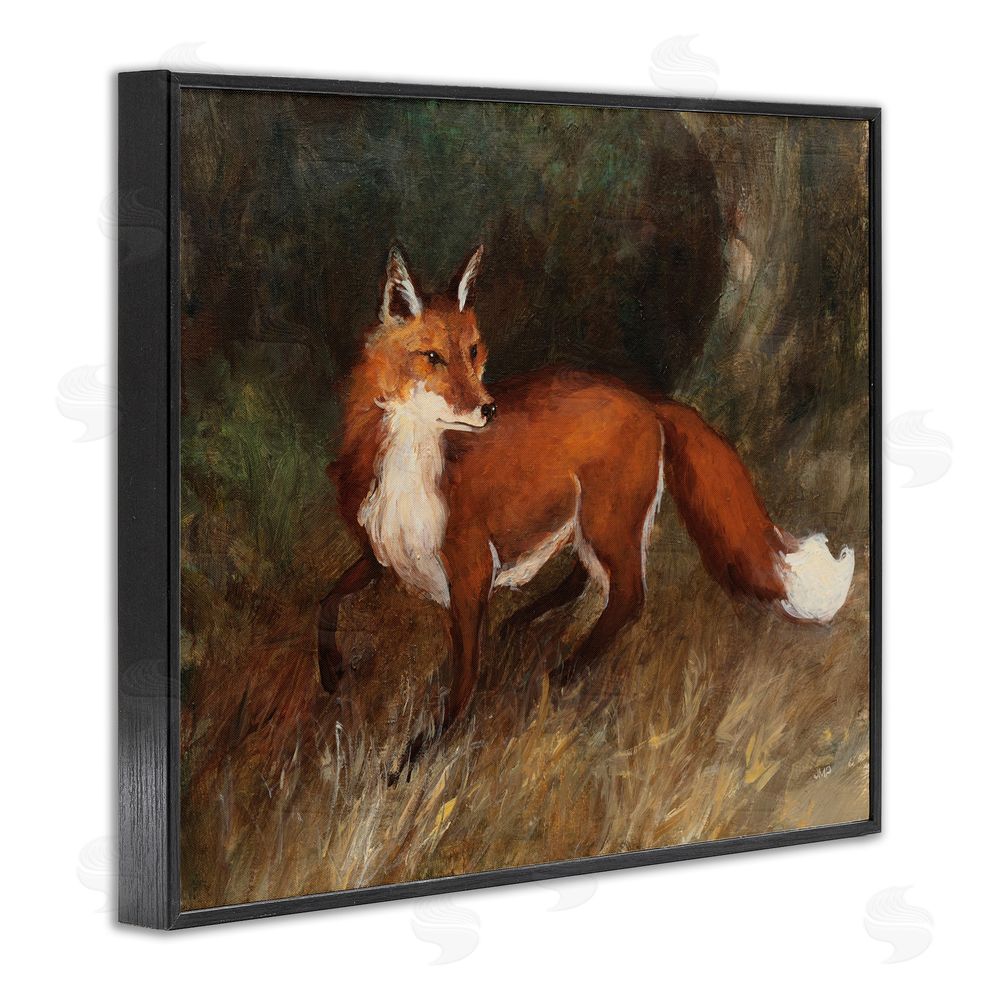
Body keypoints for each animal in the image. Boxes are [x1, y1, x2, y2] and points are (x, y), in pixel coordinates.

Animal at [319, 246, 855, 763]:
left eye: (471, 352)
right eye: (431, 356)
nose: (489, 408)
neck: (412, 465)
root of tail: (646, 399)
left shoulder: (469, 570)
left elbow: (464, 676)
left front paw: (422, 752)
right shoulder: (382, 552)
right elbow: (328, 599)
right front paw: (330, 671)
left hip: (606, 521)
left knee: (629, 596)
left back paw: (566, 671)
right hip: (589, 521)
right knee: (586, 579)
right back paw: (525, 623)